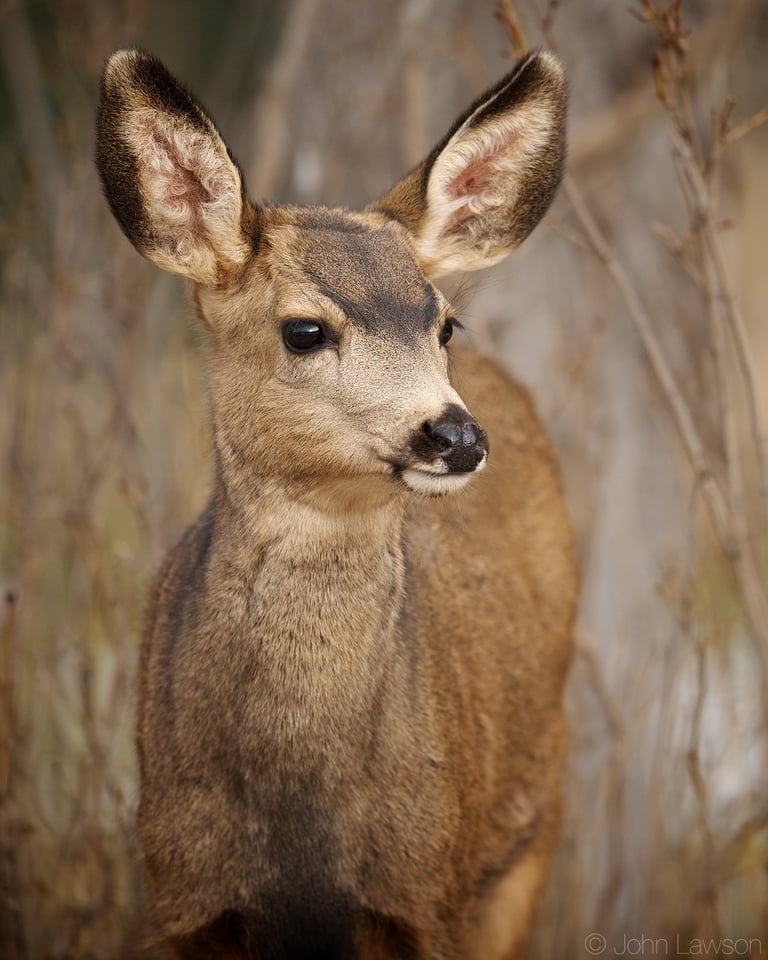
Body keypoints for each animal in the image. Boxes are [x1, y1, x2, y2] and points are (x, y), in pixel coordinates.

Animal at [96, 43, 576, 960]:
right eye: (306, 331)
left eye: (444, 324)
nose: (456, 434)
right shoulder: (182, 891)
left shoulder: (430, 888)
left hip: (531, 828)